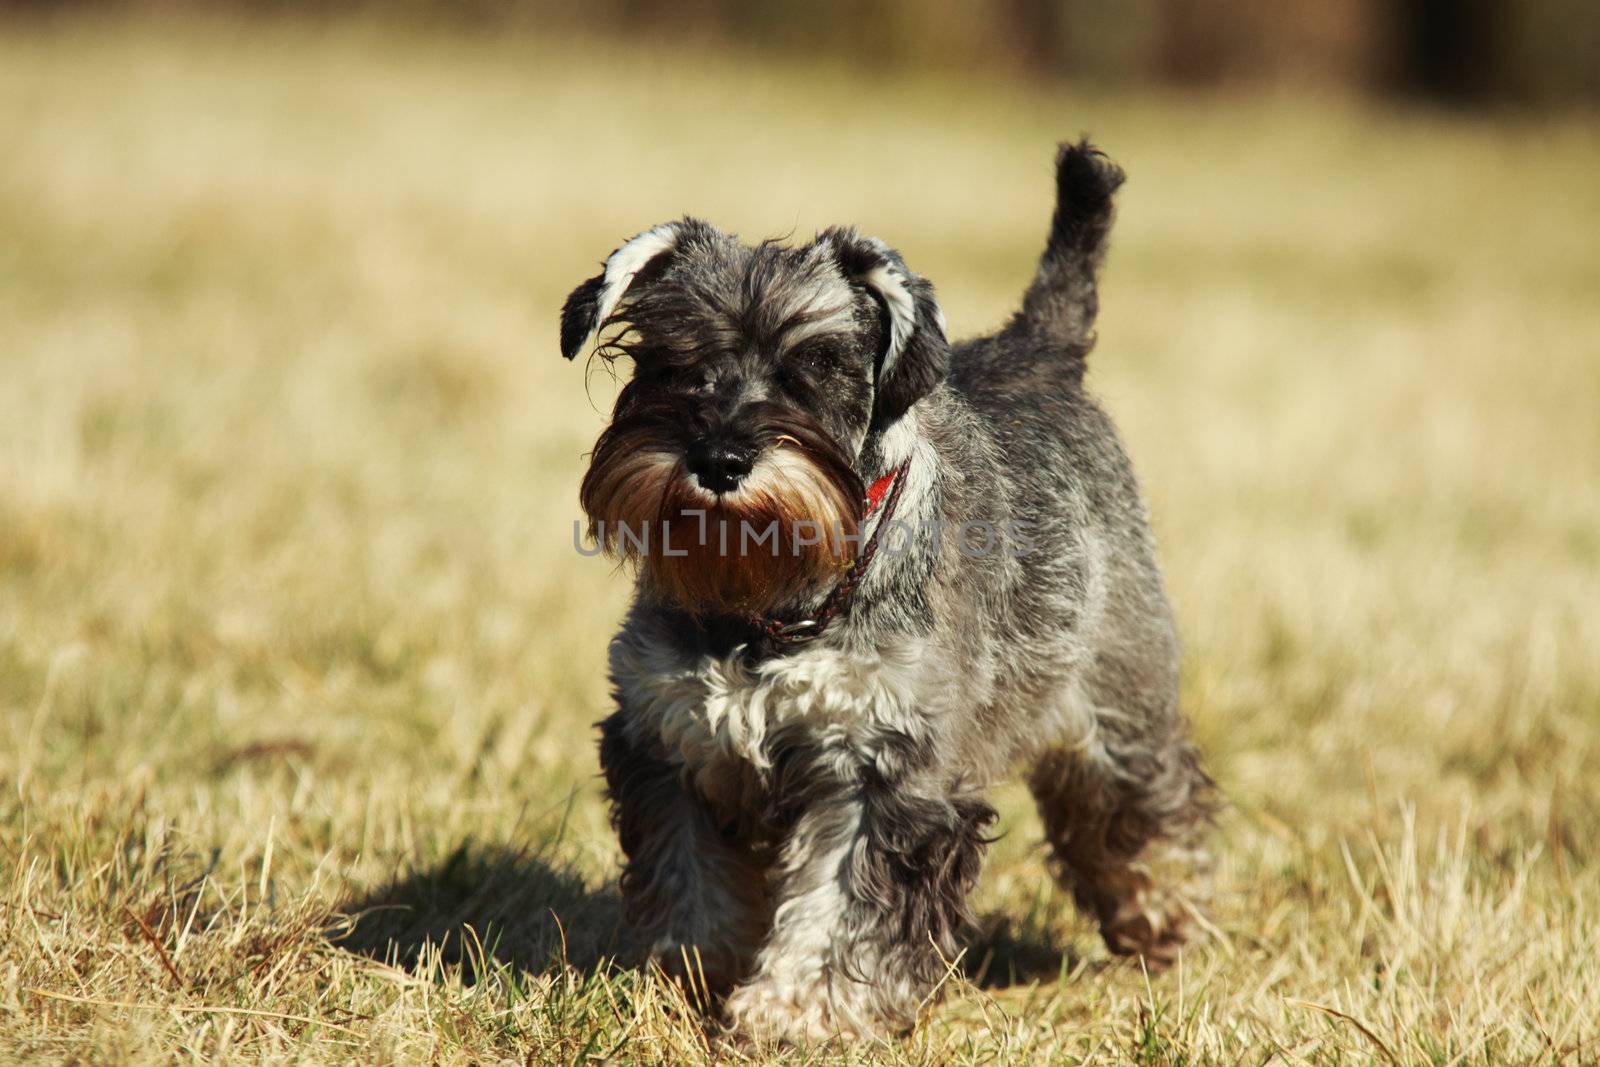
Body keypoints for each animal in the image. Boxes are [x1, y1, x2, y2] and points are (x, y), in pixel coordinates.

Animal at [560, 139, 1209, 1043]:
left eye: (818, 365)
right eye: (671, 359)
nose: (719, 458)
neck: (771, 609)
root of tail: (1039, 347)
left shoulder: (883, 772)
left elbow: (841, 905)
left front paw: (799, 1011)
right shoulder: (669, 743)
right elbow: (689, 884)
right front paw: (683, 980)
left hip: (1119, 700)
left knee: (1146, 810)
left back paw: (1165, 918)